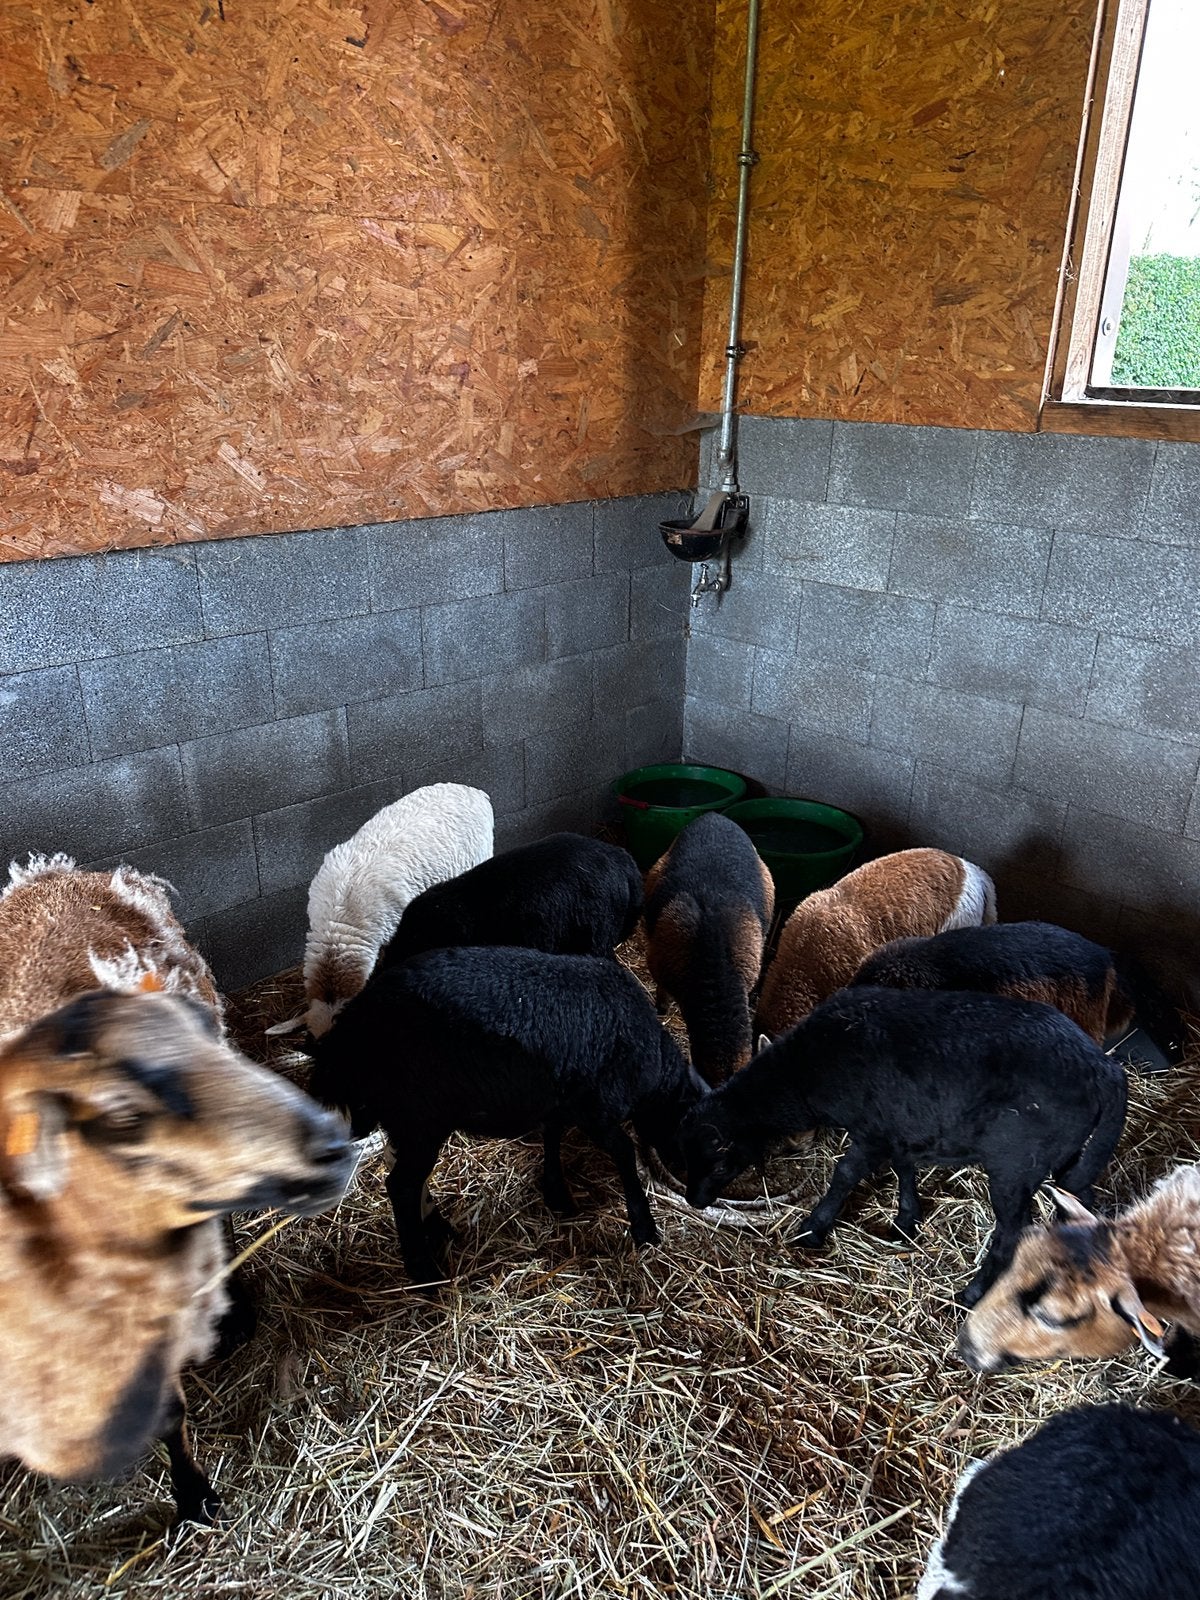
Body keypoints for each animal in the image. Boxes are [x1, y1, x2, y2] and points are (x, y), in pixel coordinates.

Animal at [307, 945, 709, 1289]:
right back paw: (423, 1270)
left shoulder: (561, 1098)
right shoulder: (596, 1108)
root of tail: (349, 1030)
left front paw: (557, 1193)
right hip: (420, 1116)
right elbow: (624, 1152)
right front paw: (644, 1227)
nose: (695, 1193)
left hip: (405, 1119)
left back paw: (437, 1230)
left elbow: (552, 1134)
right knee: (402, 1185)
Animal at [678, 985, 1127, 1306]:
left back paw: (972, 1294)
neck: (803, 1073)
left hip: (1015, 1164)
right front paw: (906, 1220)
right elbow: (903, 1166)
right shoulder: (900, 1123)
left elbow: (844, 1175)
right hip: (1069, 1155)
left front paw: (813, 1228)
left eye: (720, 1165)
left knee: (1010, 1235)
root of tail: (1103, 1067)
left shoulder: (871, 1130)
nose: (695, 1201)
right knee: (1078, 1203)